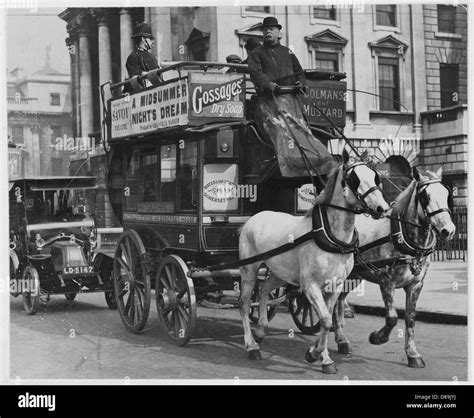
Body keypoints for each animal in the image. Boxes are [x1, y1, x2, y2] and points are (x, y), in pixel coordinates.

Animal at [237, 149, 388, 372]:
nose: (382, 208)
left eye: (376, 177)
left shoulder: (335, 284)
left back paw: (261, 330)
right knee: (245, 303)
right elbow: (325, 319)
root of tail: (253, 218)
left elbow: (327, 319)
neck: (332, 237)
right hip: (249, 268)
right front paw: (315, 354)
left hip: (281, 272)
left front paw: (323, 357)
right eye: (354, 179)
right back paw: (251, 345)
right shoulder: (310, 284)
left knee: (264, 290)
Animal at [332, 168, 454, 368]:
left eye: (446, 194)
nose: (448, 230)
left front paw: (412, 354)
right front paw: (377, 337)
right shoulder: (386, 282)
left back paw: (341, 338)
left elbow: (410, 319)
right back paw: (339, 337)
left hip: (354, 275)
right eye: (424, 197)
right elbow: (392, 317)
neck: (403, 237)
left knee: (340, 300)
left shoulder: (415, 285)